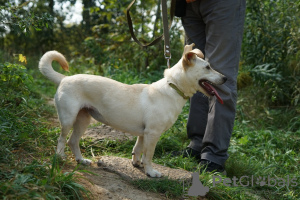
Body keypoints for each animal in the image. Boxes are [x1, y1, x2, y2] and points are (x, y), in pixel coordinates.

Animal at [38, 43, 226, 177]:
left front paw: (137, 164)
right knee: (62, 139)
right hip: (68, 119)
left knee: (72, 141)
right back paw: (60, 157)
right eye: (208, 67)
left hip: (83, 120)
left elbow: (138, 149)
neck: (173, 87)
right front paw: (151, 172)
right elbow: (148, 155)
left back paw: (81, 160)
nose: (225, 78)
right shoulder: (152, 134)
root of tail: (64, 78)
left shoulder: (143, 134)